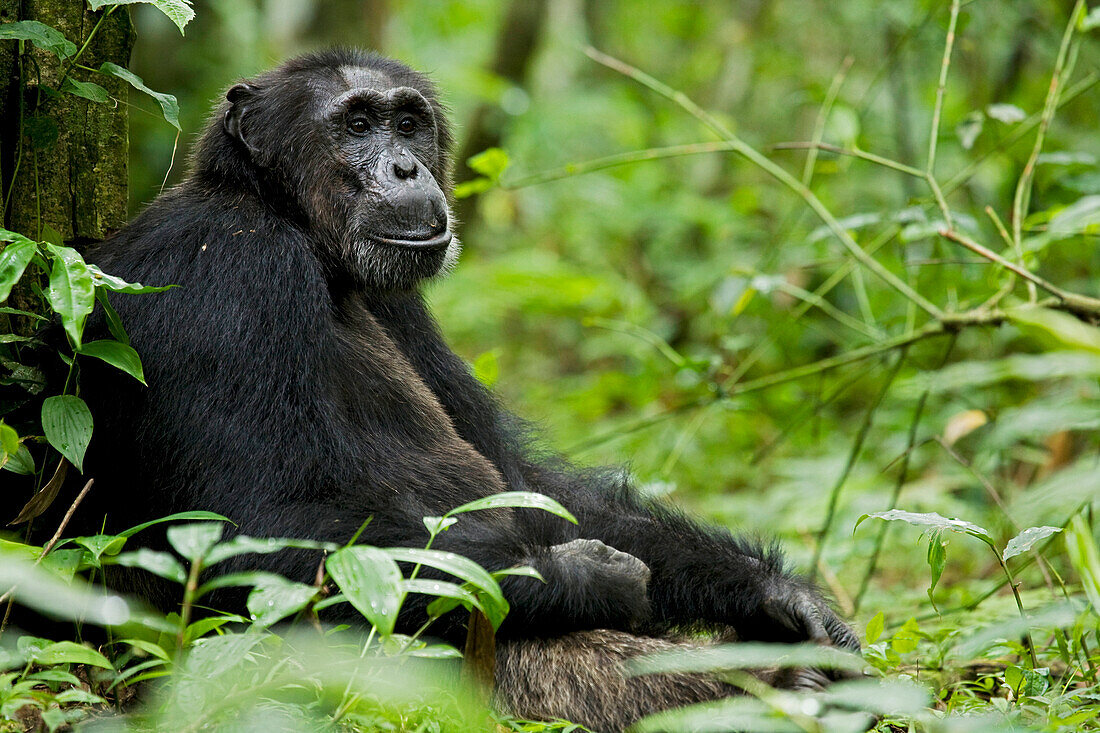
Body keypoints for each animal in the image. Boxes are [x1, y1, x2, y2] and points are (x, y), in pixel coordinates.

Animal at [66, 48, 858, 726]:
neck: (293, 223)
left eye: (407, 121)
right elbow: (249, 526)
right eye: (356, 125)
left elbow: (526, 482)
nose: (405, 166)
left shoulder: (403, 305)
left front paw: (779, 595)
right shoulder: (230, 275)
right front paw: (578, 576)